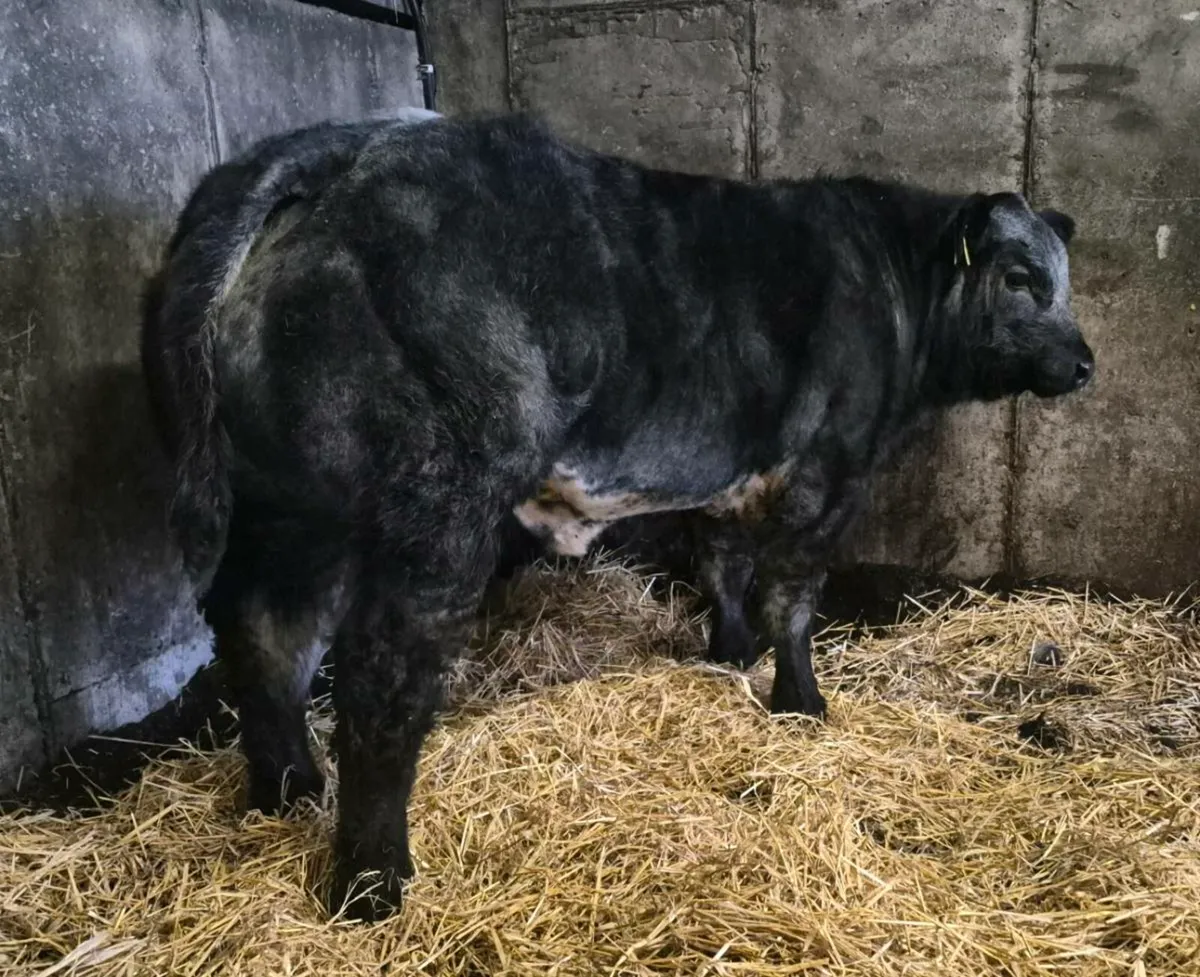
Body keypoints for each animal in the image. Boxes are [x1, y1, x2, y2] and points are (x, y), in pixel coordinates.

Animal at [142, 111, 1094, 921]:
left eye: (1064, 281)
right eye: (1021, 279)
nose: (1084, 362)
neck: (891, 279)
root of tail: (341, 147)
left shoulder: (727, 461)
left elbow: (723, 562)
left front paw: (729, 652)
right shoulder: (828, 472)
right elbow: (792, 598)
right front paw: (801, 702)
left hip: (290, 508)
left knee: (265, 636)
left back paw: (287, 790)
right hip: (431, 509)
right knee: (379, 679)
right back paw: (374, 879)